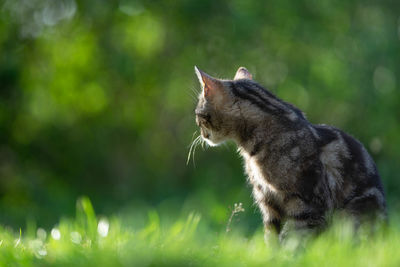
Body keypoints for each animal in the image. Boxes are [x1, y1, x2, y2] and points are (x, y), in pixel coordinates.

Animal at [194, 66, 388, 242]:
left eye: (198, 115)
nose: (201, 134)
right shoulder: (268, 204)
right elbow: (272, 240)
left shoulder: (309, 206)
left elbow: (293, 242)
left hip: (351, 215)